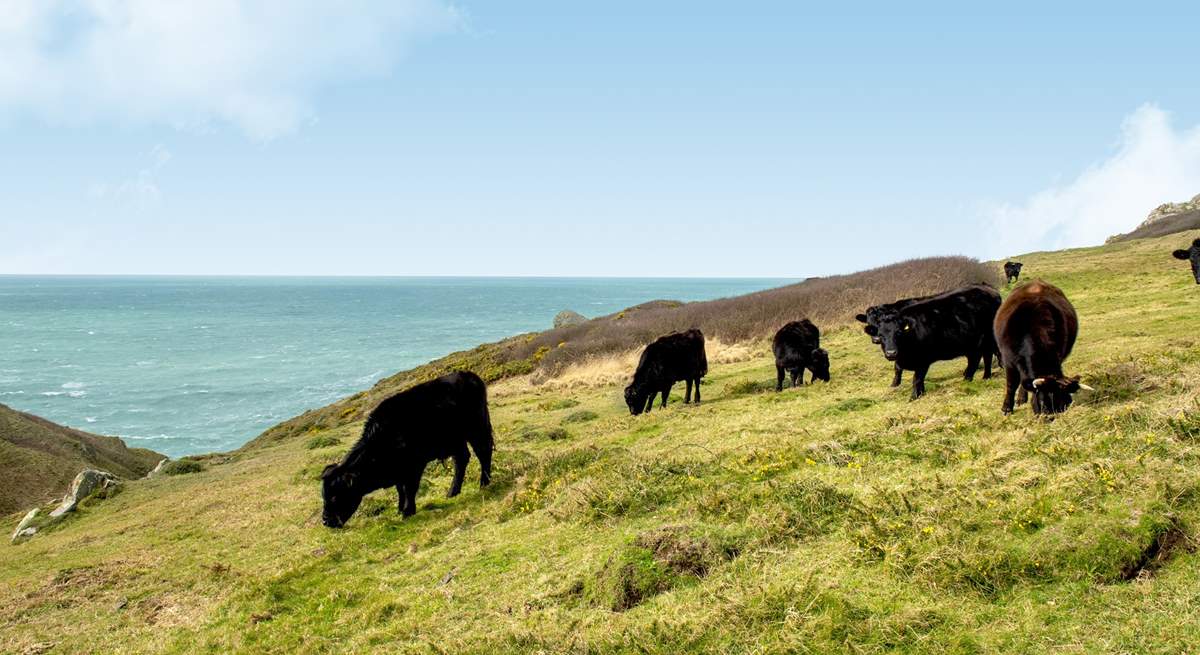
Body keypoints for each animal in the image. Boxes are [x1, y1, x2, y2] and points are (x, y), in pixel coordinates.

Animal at [319, 369, 492, 527]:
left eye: (335, 496)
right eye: (323, 496)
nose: (326, 521)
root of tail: (468, 375)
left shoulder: (414, 466)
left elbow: (409, 488)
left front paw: (408, 511)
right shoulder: (400, 471)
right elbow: (400, 489)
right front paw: (400, 509)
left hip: (477, 428)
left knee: (483, 452)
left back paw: (484, 483)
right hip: (456, 440)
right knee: (461, 459)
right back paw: (452, 492)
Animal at [873, 281, 1003, 398]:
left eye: (898, 332)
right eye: (881, 335)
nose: (891, 353)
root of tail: (987, 287)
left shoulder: (923, 360)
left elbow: (917, 379)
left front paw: (914, 397)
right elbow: (902, 371)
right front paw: (920, 393)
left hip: (986, 339)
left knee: (982, 358)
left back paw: (970, 379)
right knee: (983, 357)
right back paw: (983, 377)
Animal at [988, 279, 1094, 412]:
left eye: (1066, 403)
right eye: (1044, 400)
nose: (1051, 415)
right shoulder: (1008, 360)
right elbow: (1011, 384)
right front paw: (1007, 408)